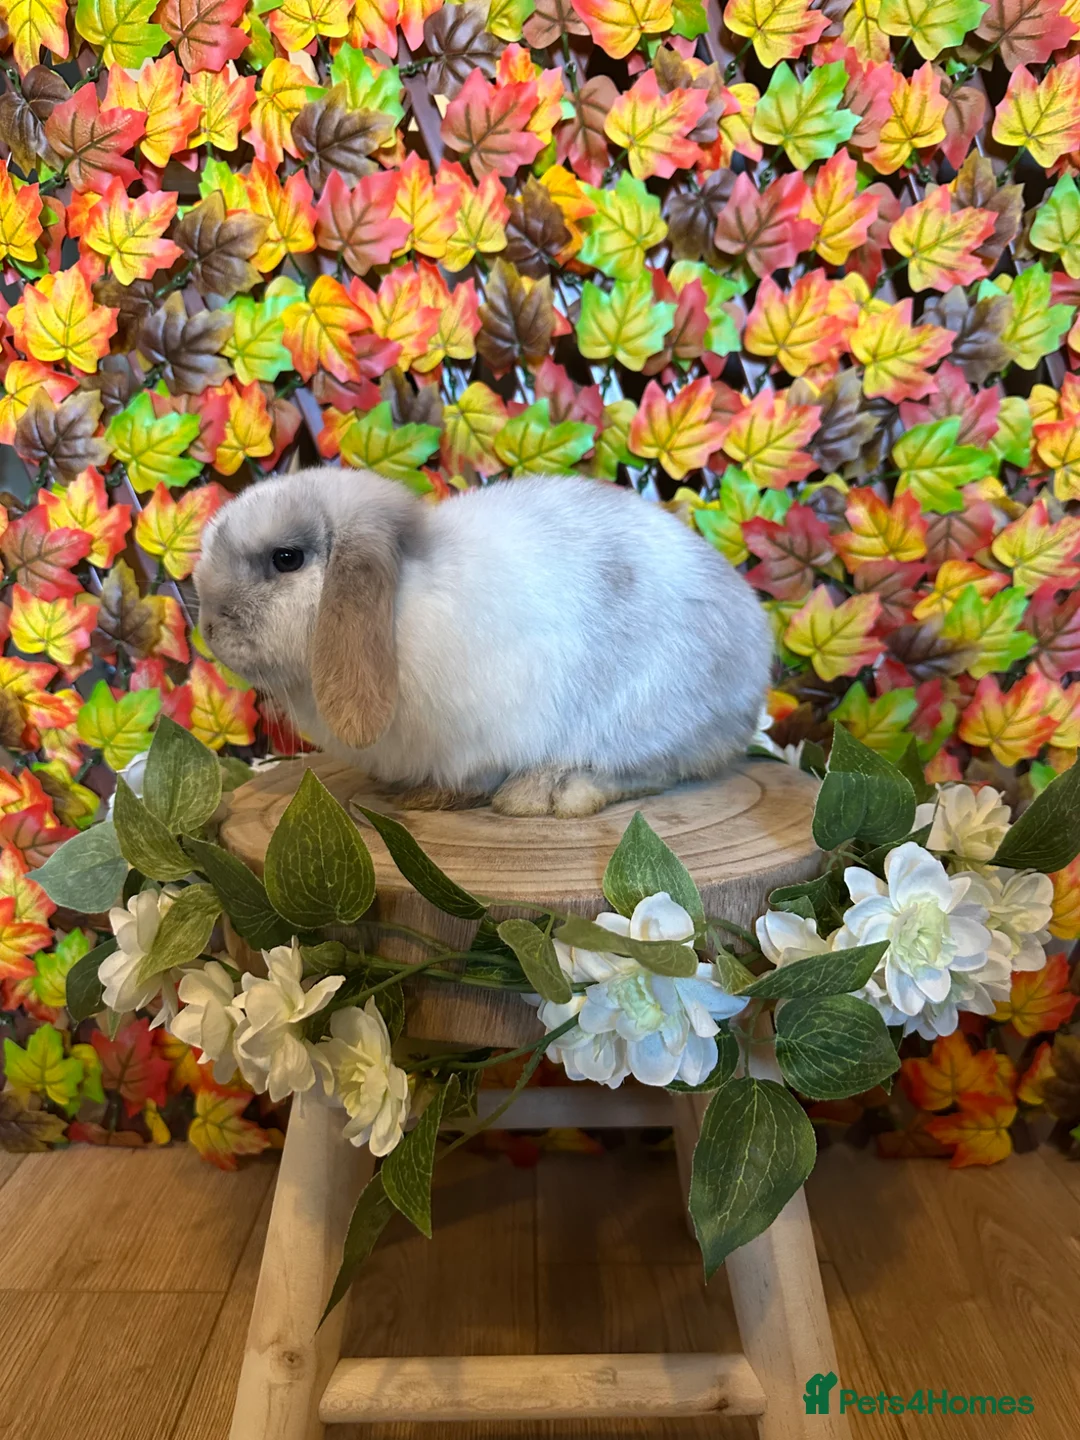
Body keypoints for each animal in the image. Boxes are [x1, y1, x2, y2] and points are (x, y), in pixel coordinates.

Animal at [193, 468, 773, 817]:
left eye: (286, 558)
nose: (210, 630)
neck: (401, 600)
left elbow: (476, 775)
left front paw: (431, 798)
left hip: (644, 715)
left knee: (655, 769)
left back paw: (548, 794)